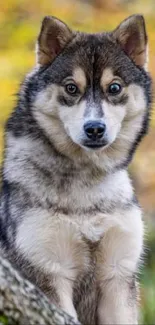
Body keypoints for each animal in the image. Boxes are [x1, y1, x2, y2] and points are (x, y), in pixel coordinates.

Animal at [0, 13, 152, 322]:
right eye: (71, 88)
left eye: (114, 87)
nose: (94, 128)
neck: (86, 187)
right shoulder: (50, 272)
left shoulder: (117, 276)